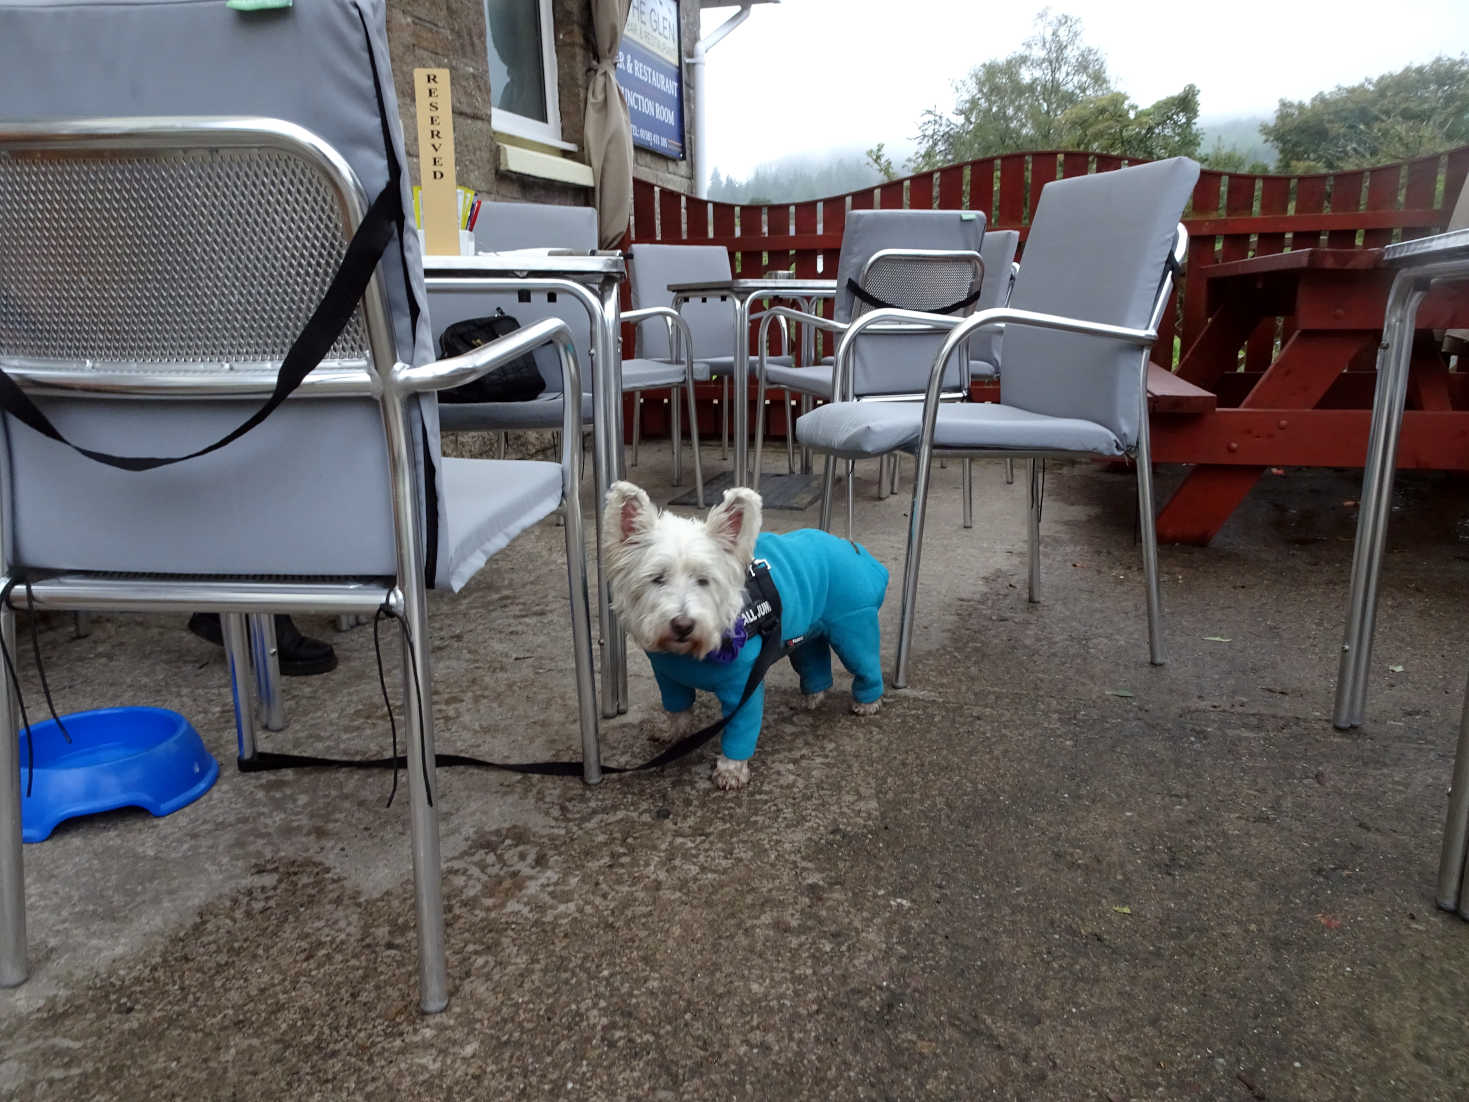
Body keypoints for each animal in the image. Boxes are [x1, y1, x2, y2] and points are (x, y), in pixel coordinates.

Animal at [602, 479, 887, 787]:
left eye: (704, 580)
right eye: (657, 578)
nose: (683, 625)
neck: (691, 653)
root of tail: (850, 547)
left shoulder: (742, 686)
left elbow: (740, 730)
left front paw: (730, 770)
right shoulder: (668, 678)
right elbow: (677, 708)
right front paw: (672, 732)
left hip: (853, 627)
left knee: (866, 664)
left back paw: (867, 703)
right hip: (806, 636)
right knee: (815, 662)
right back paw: (811, 697)